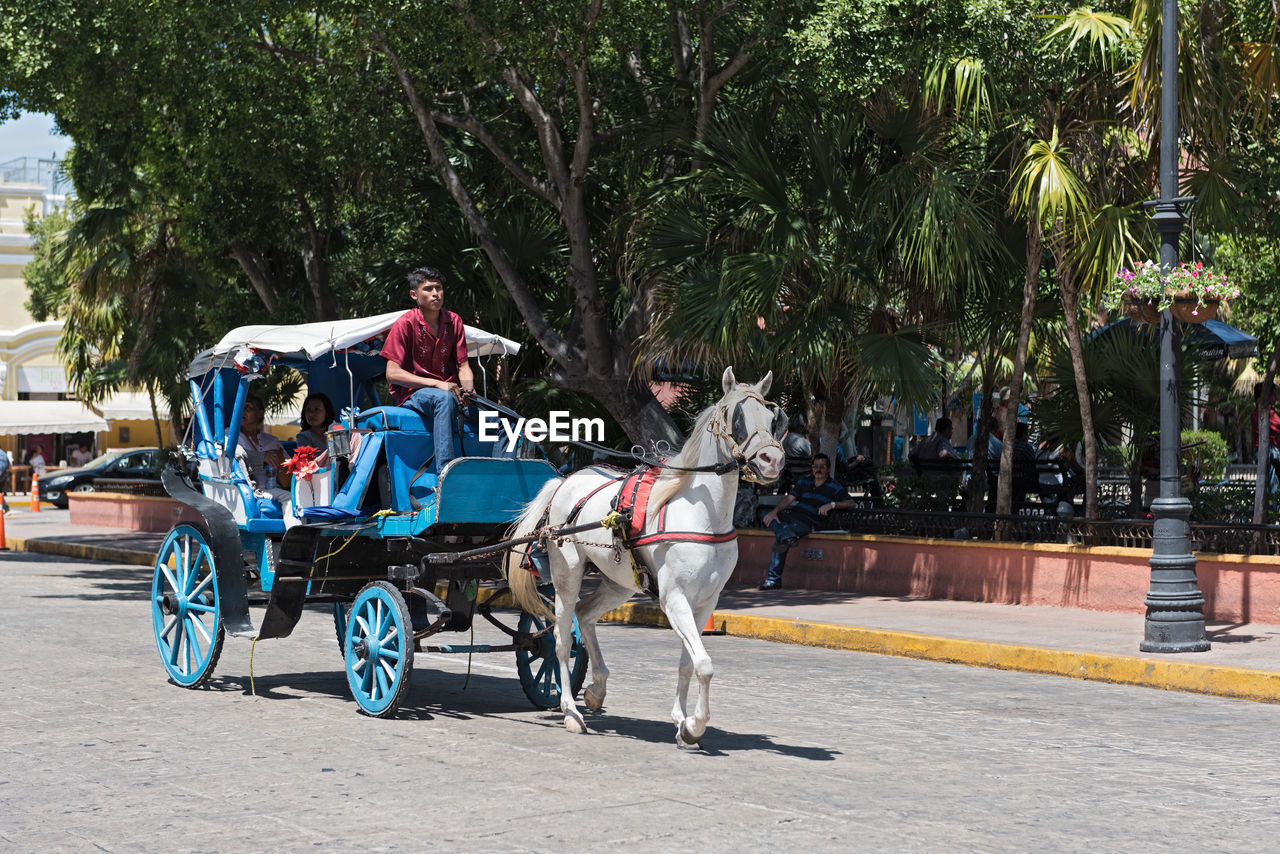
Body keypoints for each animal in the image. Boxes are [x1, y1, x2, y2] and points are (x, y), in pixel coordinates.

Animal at [504, 368, 783, 747]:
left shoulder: (706, 602)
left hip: (620, 582)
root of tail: (564, 481)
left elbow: (689, 662)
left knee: (585, 614)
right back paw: (571, 711)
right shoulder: (674, 598)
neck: (702, 515)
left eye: (772, 418)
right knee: (560, 640)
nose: (773, 460)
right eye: (735, 417)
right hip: (567, 575)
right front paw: (695, 725)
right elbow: (704, 664)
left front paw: (682, 721)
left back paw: (596, 689)